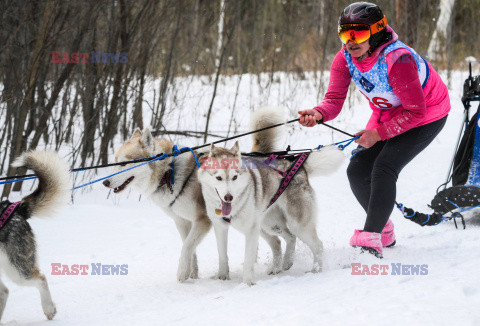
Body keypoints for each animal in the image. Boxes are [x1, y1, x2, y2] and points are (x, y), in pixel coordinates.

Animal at [103, 129, 210, 282]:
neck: (168, 172)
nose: (105, 182)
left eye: (123, 163)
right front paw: (192, 274)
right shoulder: (183, 222)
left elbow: (187, 245)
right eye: (115, 162)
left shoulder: (203, 220)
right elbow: (190, 247)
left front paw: (182, 272)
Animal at [196, 105, 344, 284]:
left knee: (317, 245)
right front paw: (222, 276)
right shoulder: (220, 228)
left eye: (234, 177)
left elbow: (248, 259)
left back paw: (315, 270)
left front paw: (248, 283)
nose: (228, 197)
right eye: (218, 178)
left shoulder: (251, 231)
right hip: (269, 223)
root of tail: (299, 166)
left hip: (296, 224)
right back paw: (284, 264)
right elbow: (223, 255)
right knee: (286, 238)